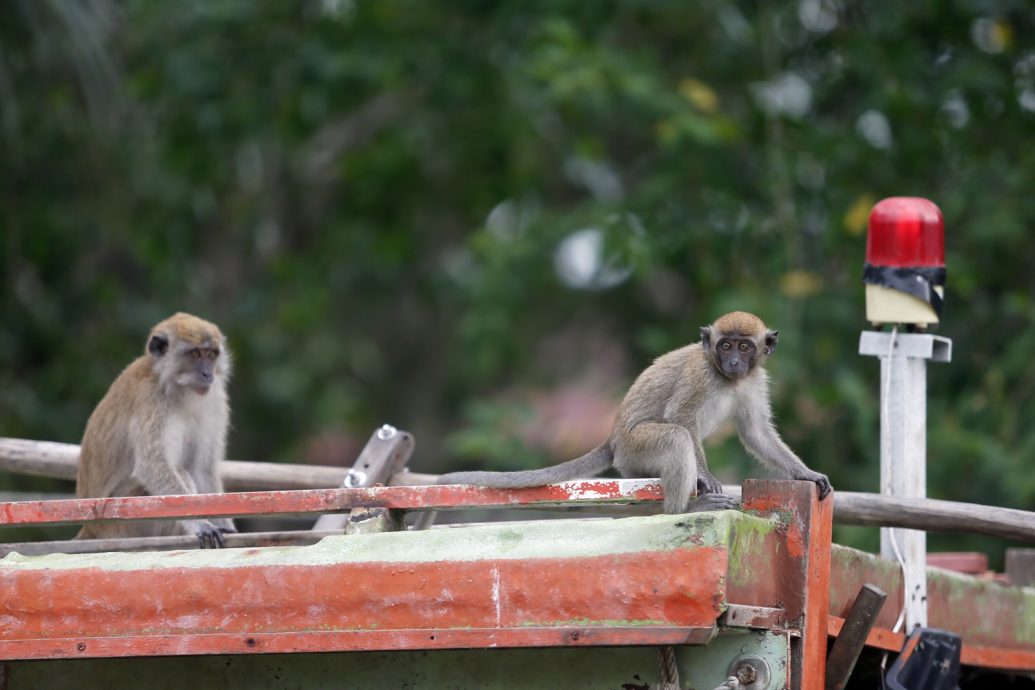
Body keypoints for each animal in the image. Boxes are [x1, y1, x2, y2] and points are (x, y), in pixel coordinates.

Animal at [77, 314, 238, 550]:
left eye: (211, 354)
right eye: (196, 354)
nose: (207, 374)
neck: (175, 387)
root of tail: (90, 530)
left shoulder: (215, 399)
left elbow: (202, 469)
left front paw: (224, 523)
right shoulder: (151, 399)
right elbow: (152, 465)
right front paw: (200, 523)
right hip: (122, 519)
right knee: (180, 473)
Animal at [438, 312, 832, 513]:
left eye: (745, 347)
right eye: (726, 345)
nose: (734, 361)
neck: (725, 378)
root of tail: (613, 440)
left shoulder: (754, 381)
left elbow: (755, 432)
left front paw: (807, 474)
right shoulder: (701, 377)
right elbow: (681, 419)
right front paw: (706, 479)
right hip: (635, 451)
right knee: (676, 438)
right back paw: (684, 512)